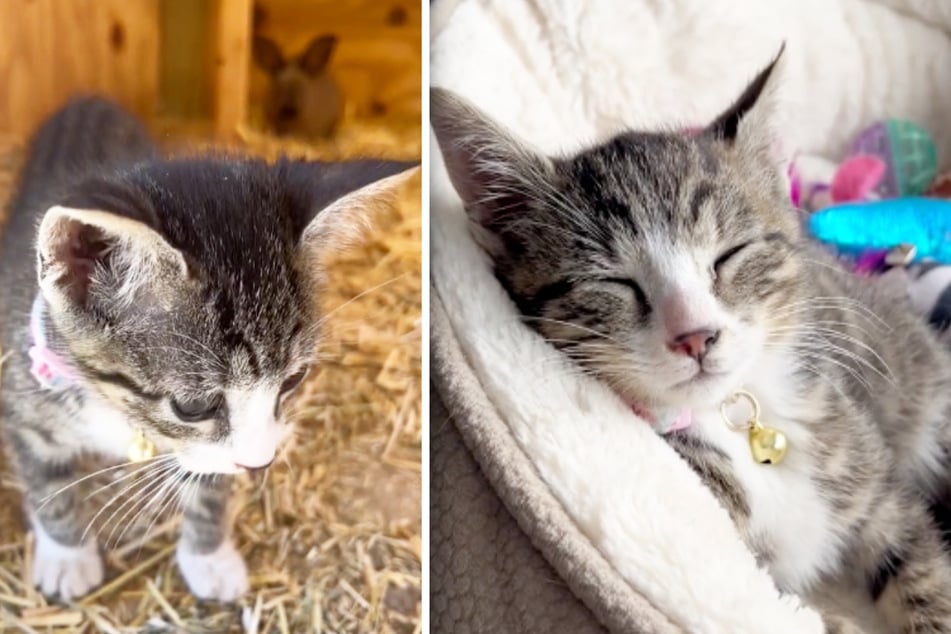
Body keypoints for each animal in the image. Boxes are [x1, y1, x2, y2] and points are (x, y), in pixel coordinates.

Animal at [0, 97, 416, 596]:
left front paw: (209, 555)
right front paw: (66, 553)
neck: (118, 410)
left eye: (293, 380)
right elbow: (45, 478)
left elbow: (212, 481)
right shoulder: (21, 394)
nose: (259, 465)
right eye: (192, 407)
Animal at [434, 55, 951, 632]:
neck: (732, 417)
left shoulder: (877, 485)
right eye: (614, 281)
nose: (696, 335)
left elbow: (922, 571)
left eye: (729, 255)